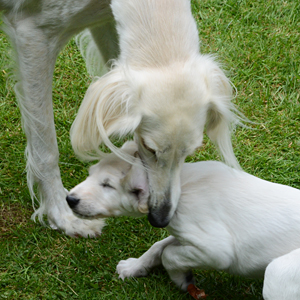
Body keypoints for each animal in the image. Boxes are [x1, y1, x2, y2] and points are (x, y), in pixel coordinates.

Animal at [0, 0, 239, 234]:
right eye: (149, 147)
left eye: (190, 152)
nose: (160, 218)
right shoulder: (34, 32)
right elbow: (45, 150)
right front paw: (63, 217)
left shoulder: (105, 20)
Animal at [67, 141, 300, 300]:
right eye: (90, 174)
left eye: (107, 185)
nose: (69, 199)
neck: (182, 188)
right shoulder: (185, 236)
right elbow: (158, 246)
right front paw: (134, 267)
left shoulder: (216, 250)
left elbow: (169, 255)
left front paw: (182, 279)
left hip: (277, 272)